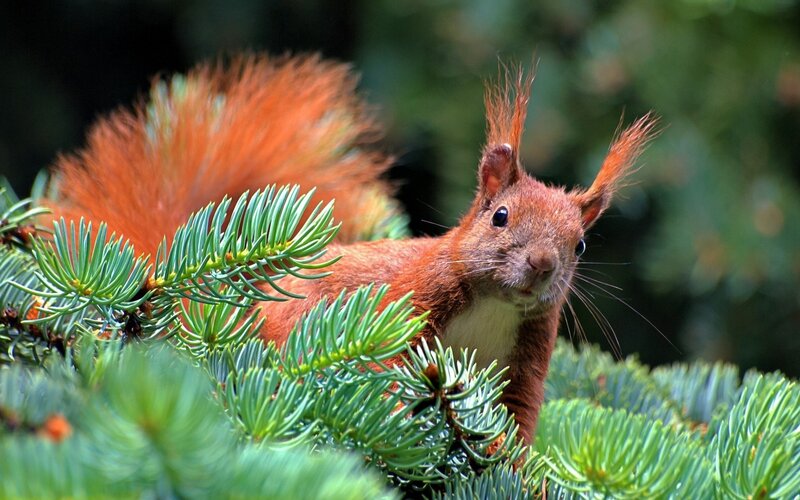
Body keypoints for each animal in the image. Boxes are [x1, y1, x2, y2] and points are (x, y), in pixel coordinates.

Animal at [45, 54, 657, 443]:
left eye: (580, 244)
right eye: (500, 216)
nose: (543, 264)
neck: (494, 307)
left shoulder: (527, 364)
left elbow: (519, 425)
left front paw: (516, 471)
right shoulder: (410, 298)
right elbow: (385, 356)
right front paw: (395, 410)